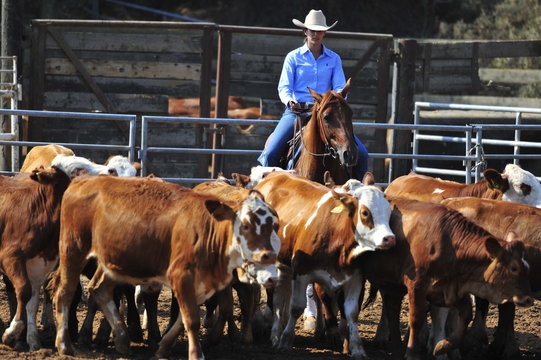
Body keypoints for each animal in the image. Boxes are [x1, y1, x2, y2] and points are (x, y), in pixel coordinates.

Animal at [0, 167, 70, 350]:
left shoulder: (39, 266)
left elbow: (32, 302)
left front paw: (33, 340)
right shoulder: (10, 257)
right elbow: (23, 291)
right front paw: (11, 332)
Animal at [52, 175, 280, 360]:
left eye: (275, 225)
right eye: (246, 225)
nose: (268, 257)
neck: (208, 230)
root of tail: (83, 180)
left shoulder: (202, 283)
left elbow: (182, 319)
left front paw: (163, 347)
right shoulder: (181, 275)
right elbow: (191, 319)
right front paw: (196, 355)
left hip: (114, 262)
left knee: (100, 289)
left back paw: (122, 340)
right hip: (73, 249)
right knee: (65, 292)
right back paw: (64, 345)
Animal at [251, 172, 394, 360]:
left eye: (389, 211)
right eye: (365, 212)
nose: (389, 238)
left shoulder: (355, 278)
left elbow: (351, 312)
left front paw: (357, 348)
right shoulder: (302, 272)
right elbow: (297, 307)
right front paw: (285, 341)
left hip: (285, 267)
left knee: (281, 295)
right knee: (275, 299)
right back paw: (274, 336)